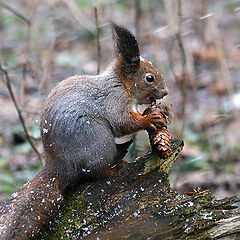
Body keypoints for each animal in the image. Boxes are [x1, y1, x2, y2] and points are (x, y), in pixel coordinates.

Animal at [0, 23, 168, 240]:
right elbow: (122, 123)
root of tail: (58, 166)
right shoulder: (114, 100)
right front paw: (150, 119)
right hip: (98, 138)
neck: (121, 84)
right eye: (149, 78)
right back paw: (115, 164)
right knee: (94, 173)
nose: (165, 92)